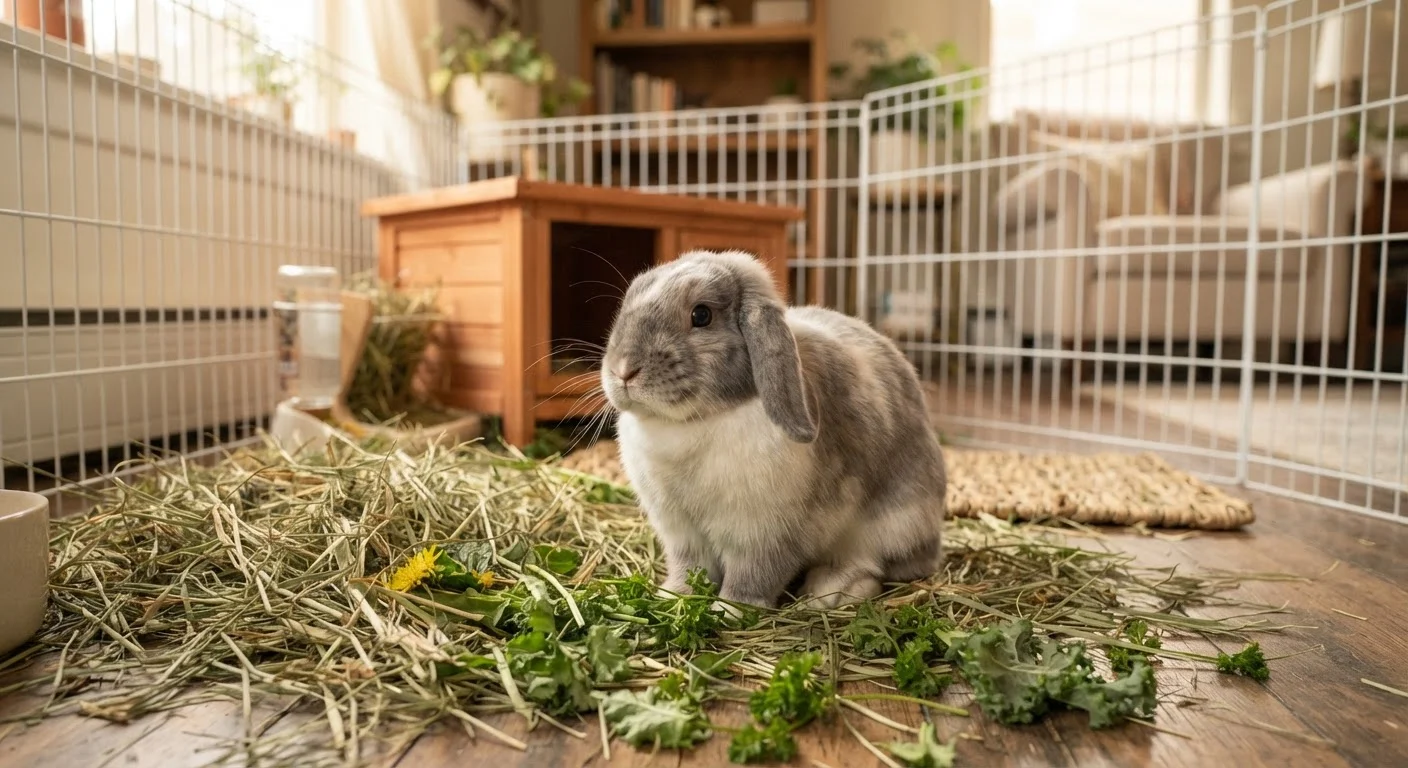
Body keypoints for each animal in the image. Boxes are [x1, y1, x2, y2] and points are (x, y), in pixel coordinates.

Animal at [599, 249, 946, 611]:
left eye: (702, 315)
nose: (623, 370)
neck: (693, 422)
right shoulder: (682, 533)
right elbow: (689, 568)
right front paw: (672, 596)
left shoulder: (763, 534)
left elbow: (753, 576)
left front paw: (730, 610)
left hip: (894, 524)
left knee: (874, 565)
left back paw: (829, 591)